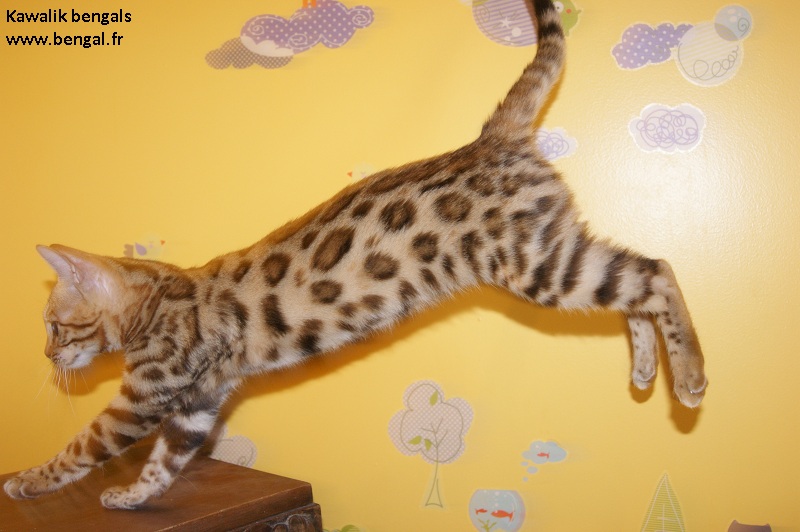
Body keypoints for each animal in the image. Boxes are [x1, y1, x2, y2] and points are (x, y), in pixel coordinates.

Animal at [5, 0, 705, 510]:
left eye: (54, 325)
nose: (46, 357)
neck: (154, 300)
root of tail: (491, 138)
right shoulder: (200, 403)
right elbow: (164, 464)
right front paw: (129, 497)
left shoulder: (145, 396)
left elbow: (81, 447)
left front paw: (27, 481)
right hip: (553, 250)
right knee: (638, 277)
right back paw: (647, 370)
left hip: (533, 266)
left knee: (659, 272)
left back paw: (691, 377)